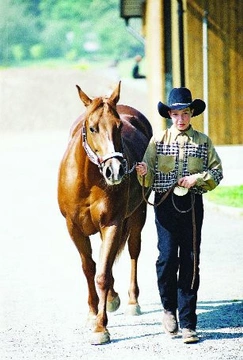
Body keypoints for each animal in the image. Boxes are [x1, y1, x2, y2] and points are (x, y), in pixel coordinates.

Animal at [57, 81, 152, 344]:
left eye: (119, 126)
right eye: (92, 128)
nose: (115, 170)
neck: (88, 180)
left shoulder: (112, 224)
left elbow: (102, 274)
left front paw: (101, 328)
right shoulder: (74, 228)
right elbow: (90, 268)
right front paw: (93, 314)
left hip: (138, 215)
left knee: (133, 251)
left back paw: (131, 301)